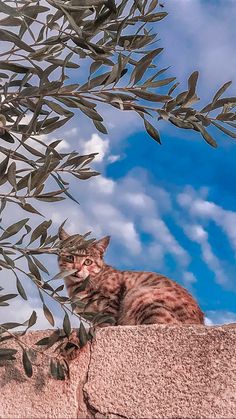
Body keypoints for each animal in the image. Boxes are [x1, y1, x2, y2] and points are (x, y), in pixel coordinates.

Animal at [58, 231, 204, 326]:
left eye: (88, 262)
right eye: (70, 258)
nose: (76, 269)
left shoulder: (110, 302)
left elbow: (106, 323)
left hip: (142, 297)